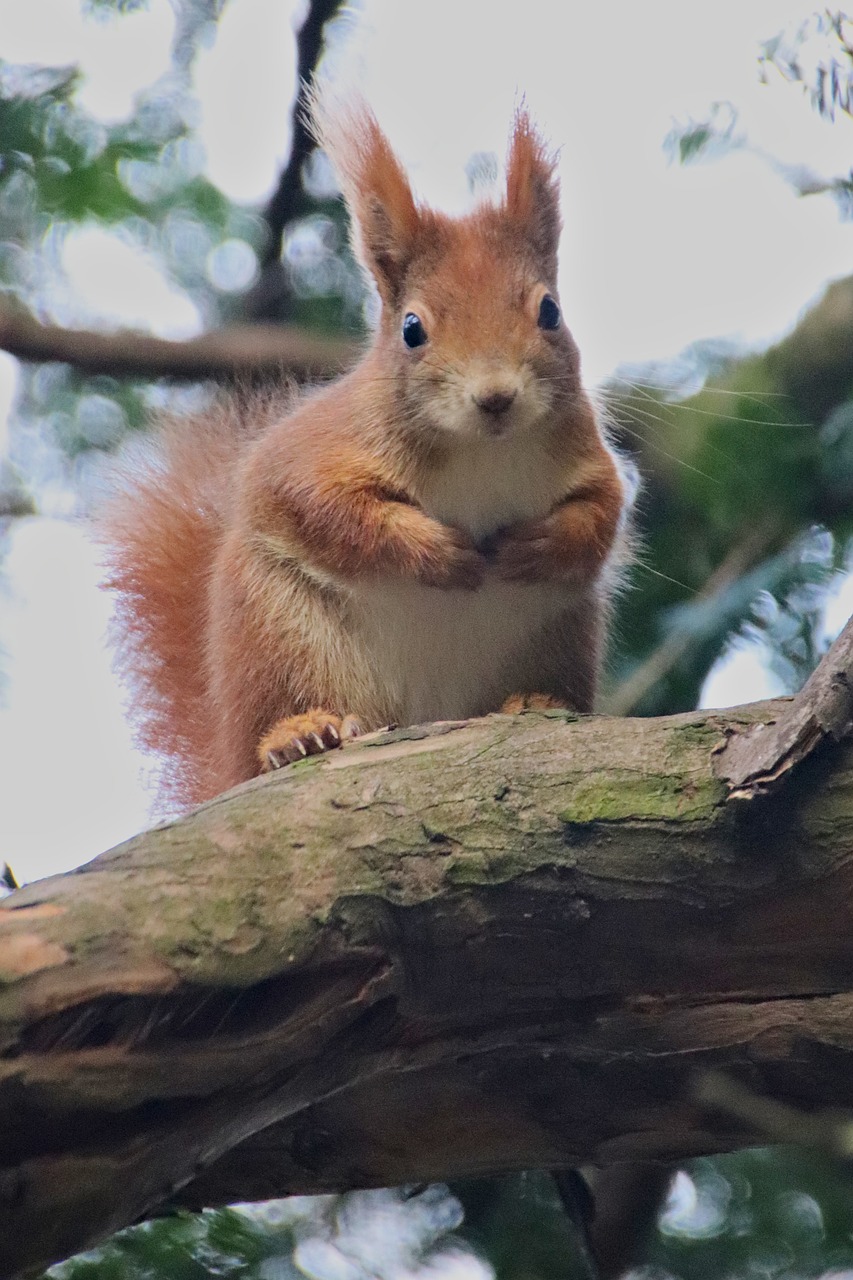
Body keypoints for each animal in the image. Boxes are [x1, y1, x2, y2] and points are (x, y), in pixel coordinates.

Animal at [101, 99, 630, 808]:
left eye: (550, 312)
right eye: (412, 329)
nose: (496, 397)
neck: (479, 452)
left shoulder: (588, 457)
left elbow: (601, 515)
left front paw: (537, 544)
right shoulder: (319, 450)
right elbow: (330, 510)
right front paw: (436, 551)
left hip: (559, 633)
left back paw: (534, 701)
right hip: (277, 636)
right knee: (273, 721)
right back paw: (296, 734)